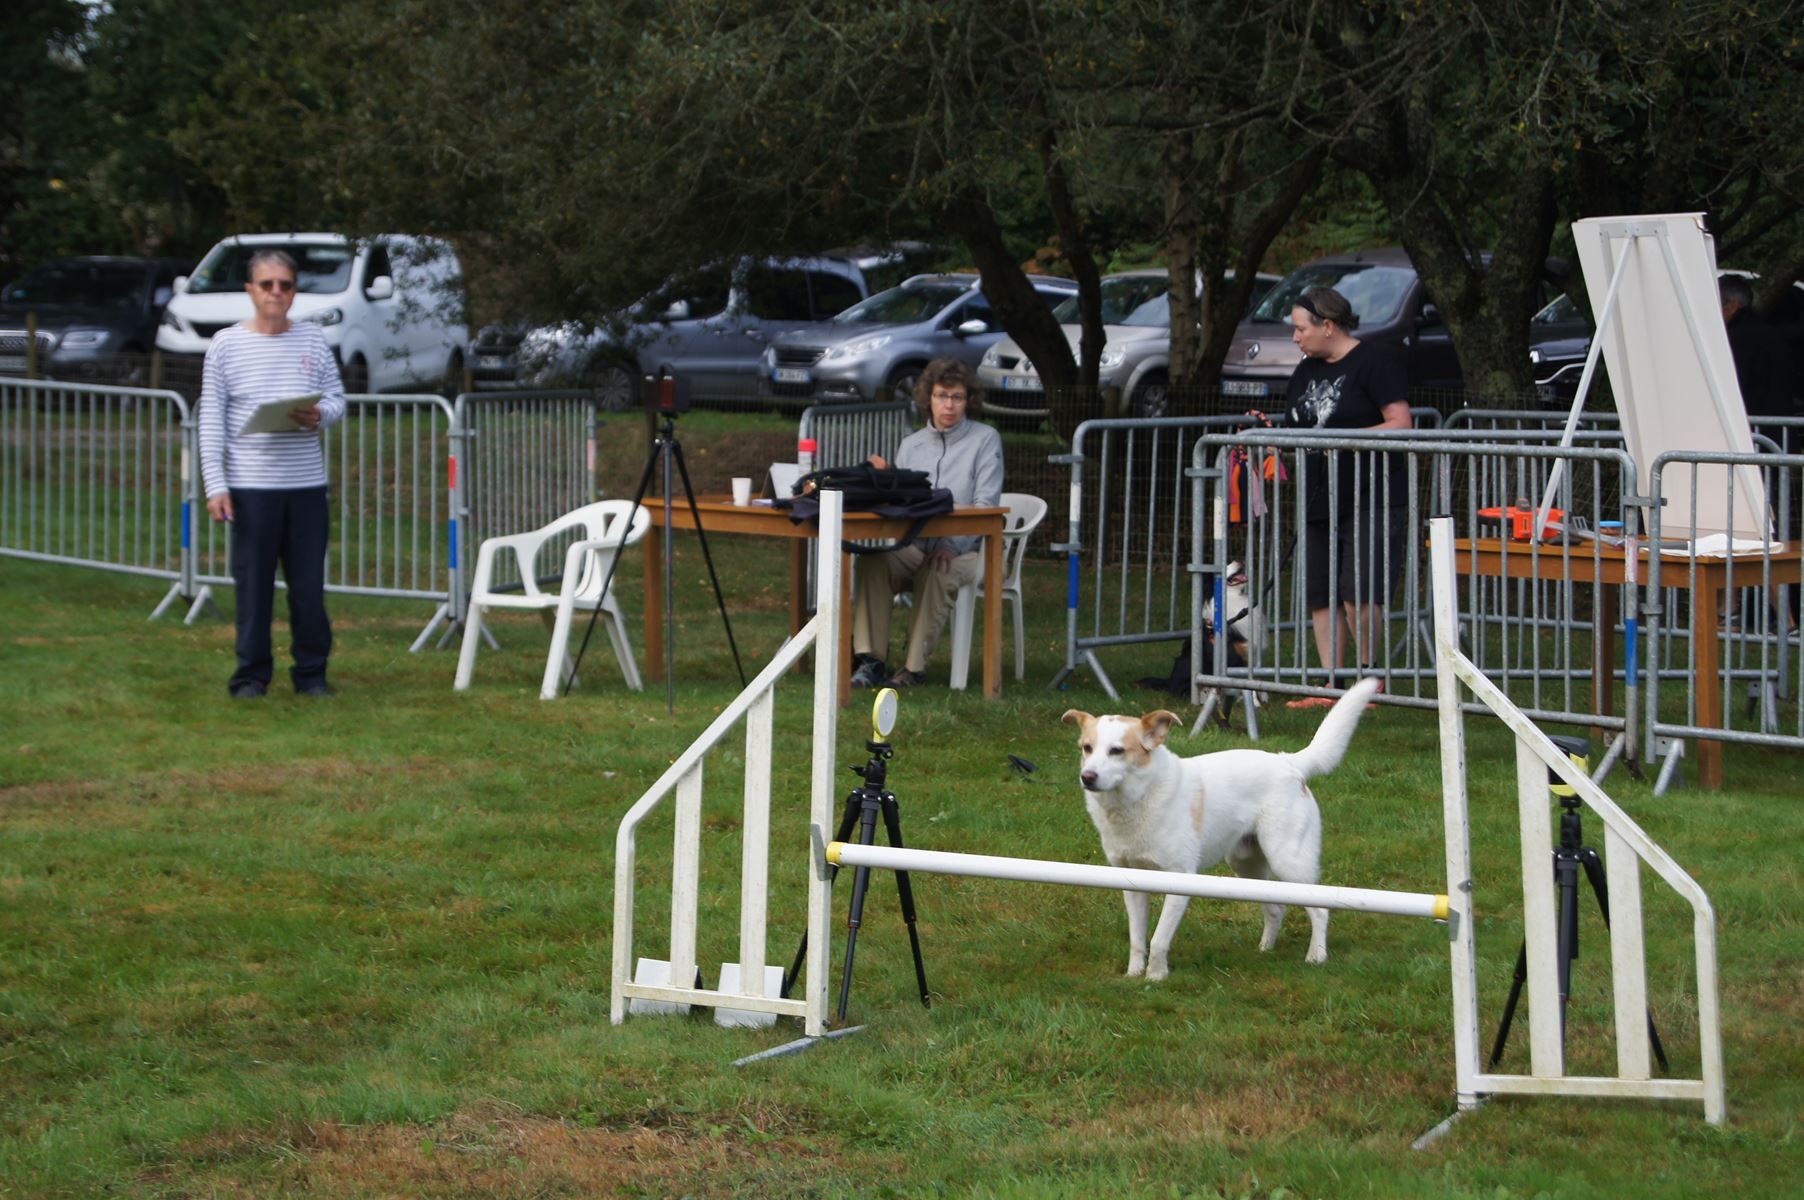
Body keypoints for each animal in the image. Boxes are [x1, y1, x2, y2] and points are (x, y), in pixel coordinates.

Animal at [1053, 678, 1378, 981]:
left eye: (1117, 751)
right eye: (1087, 748)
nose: (1087, 777)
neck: (1137, 798)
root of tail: (1288, 762)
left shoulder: (1179, 879)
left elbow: (1158, 939)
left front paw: (1156, 977)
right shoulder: (1131, 882)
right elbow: (1137, 938)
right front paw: (1134, 975)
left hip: (1289, 862)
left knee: (1320, 909)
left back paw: (1316, 956)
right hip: (1246, 866)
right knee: (1276, 909)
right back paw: (1265, 950)